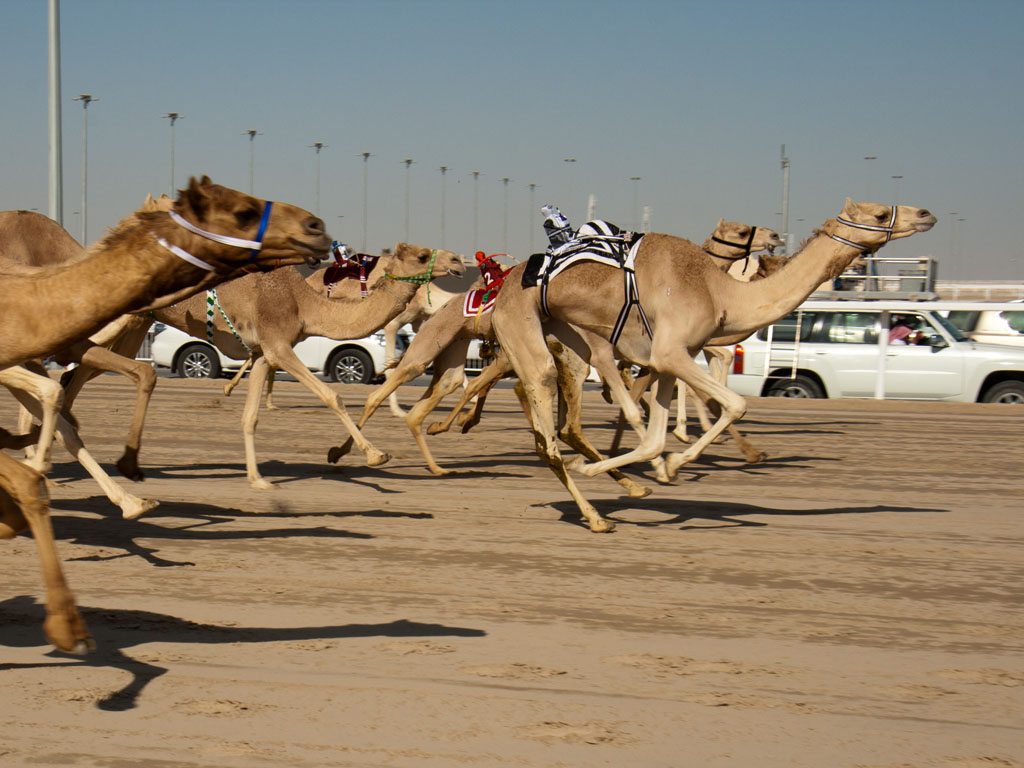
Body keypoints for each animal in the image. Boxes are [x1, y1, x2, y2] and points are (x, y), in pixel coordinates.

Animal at [489, 201, 937, 532]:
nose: (926, 213)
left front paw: (663, 467)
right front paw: (667, 465)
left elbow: (655, 437)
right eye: (880, 214)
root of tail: (503, 283)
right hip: (525, 328)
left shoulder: (665, 359)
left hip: (573, 337)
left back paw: (614, 492)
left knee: (558, 422)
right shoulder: (672, 353)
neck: (719, 291)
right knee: (546, 427)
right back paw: (596, 516)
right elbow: (735, 404)